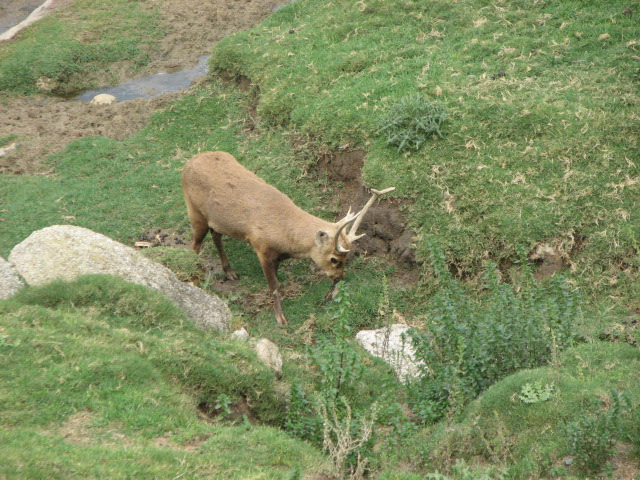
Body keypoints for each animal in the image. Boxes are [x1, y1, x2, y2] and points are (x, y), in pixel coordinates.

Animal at [181, 151, 394, 325]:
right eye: (334, 259)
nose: (339, 278)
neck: (286, 237)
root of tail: (188, 164)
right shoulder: (262, 248)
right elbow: (274, 285)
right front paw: (280, 318)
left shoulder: (277, 256)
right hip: (194, 210)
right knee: (195, 244)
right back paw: (194, 279)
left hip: (216, 219)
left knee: (215, 235)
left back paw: (229, 272)